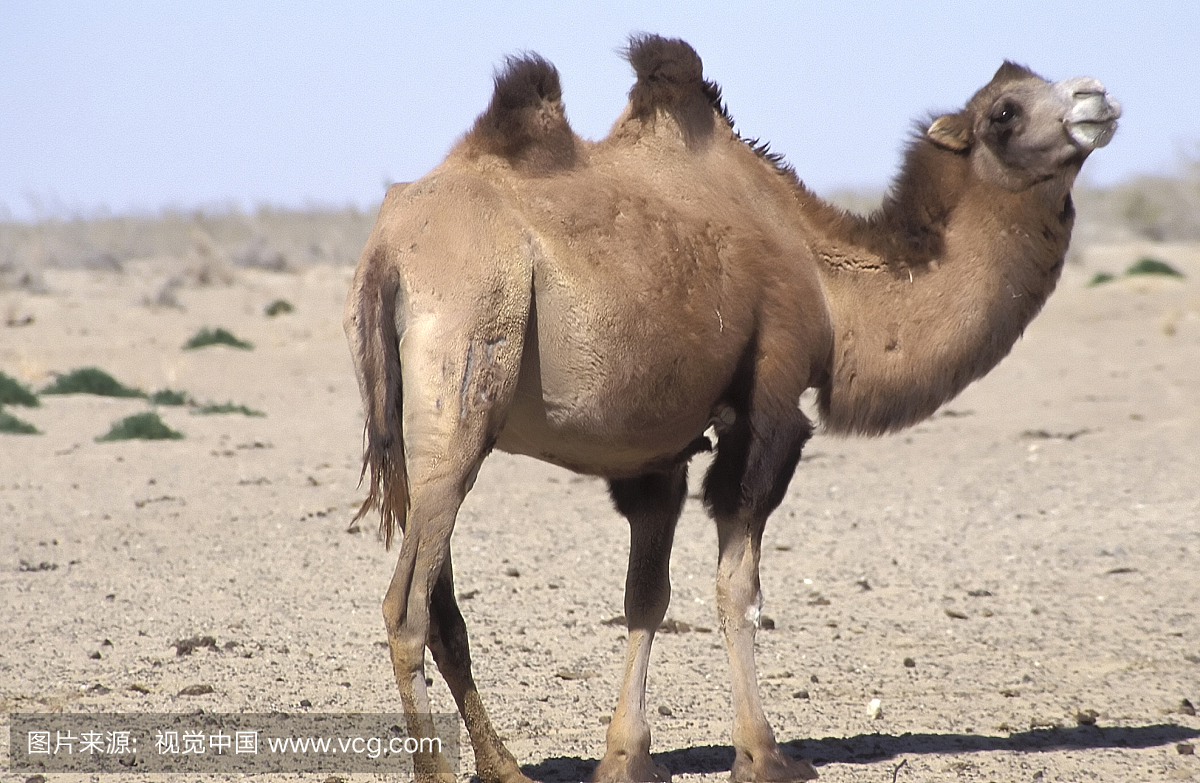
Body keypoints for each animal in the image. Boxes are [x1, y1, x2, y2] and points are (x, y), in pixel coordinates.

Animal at [343, 35, 1118, 783]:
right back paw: (441, 770)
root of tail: (387, 253)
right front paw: (765, 754)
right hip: (466, 375)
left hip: (409, 430)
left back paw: (505, 768)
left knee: (442, 607)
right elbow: (738, 588)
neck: (829, 284)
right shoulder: (767, 406)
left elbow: (646, 594)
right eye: (1005, 111)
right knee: (407, 605)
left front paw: (627, 758)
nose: (1097, 97)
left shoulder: (656, 451)